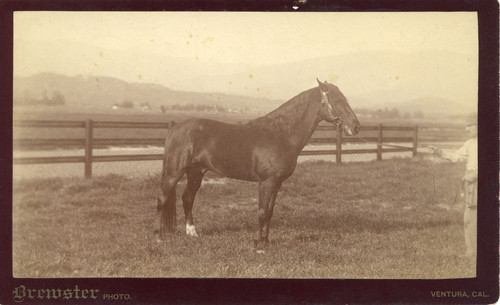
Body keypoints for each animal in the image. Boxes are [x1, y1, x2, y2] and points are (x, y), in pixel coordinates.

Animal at [156, 78, 360, 249]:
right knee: (163, 197)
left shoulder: (277, 183)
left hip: (196, 172)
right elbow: (262, 211)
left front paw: (265, 241)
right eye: (337, 100)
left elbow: (269, 212)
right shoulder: (266, 182)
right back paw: (158, 236)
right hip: (175, 172)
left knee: (187, 198)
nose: (356, 126)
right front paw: (259, 245)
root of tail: (175, 128)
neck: (279, 135)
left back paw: (192, 233)